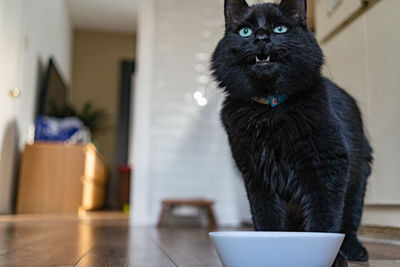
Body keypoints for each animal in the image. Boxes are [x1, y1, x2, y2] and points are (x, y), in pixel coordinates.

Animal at [212, 0, 372, 266]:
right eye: (245, 31)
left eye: (280, 29)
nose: (261, 37)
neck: (270, 111)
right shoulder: (257, 177)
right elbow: (266, 219)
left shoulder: (328, 168)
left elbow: (324, 221)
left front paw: (329, 256)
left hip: (358, 181)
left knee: (349, 223)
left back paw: (354, 251)